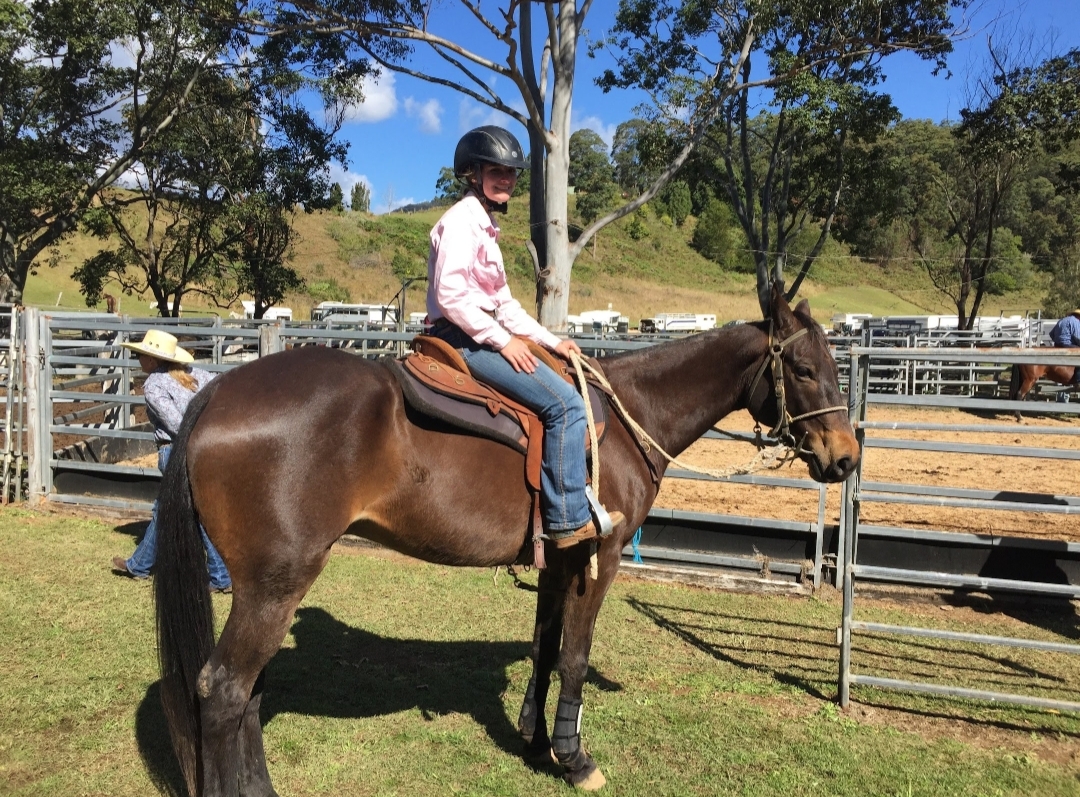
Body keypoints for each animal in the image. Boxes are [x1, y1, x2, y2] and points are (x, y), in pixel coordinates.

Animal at [153, 285, 859, 796]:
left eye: (833, 365)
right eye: (803, 368)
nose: (847, 458)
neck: (624, 419)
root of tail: (220, 390)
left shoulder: (558, 559)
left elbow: (545, 645)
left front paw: (532, 736)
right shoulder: (598, 559)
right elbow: (574, 655)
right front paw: (574, 758)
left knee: (250, 690)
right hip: (274, 584)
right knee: (224, 689)